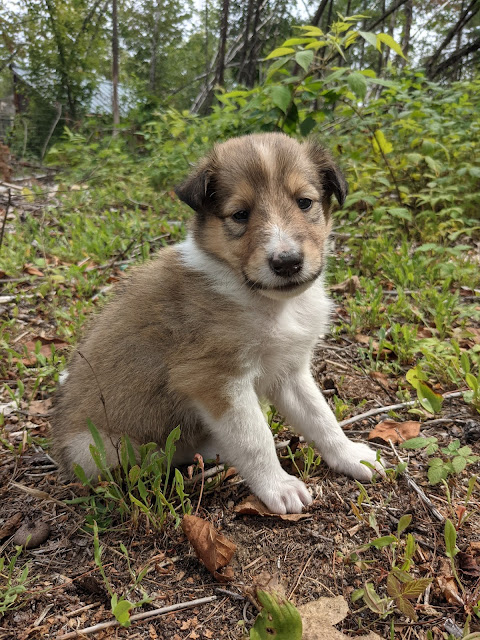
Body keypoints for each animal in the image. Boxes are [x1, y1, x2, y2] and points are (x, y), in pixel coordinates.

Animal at [51, 132, 382, 514]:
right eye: (240, 214)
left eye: (304, 202)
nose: (287, 262)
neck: (265, 301)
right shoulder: (214, 378)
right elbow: (256, 438)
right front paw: (279, 487)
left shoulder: (289, 372)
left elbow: (321, 417)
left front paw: (352, 456)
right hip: (99, 447)